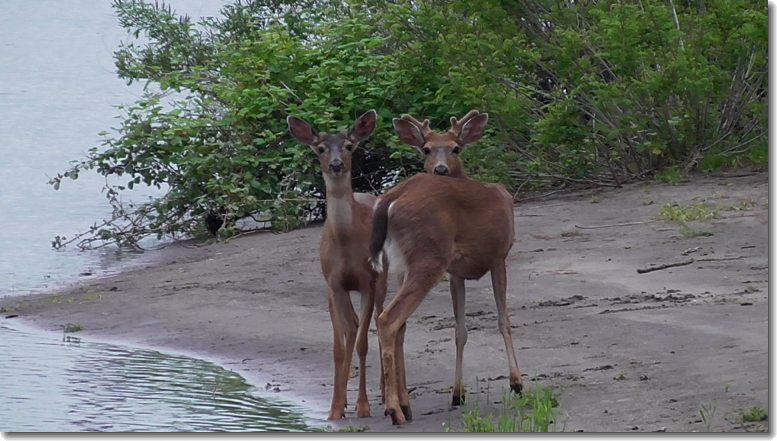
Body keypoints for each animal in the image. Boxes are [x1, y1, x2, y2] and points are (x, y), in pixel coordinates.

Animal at [287, 110, 388, 420]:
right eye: (320, 148)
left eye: (349, 146)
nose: (336, 165)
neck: (346, 242)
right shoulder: (335, 284)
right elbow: (341, 345)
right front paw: (335, 408)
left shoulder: (368, 280)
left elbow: (363, 343)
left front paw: (363, 406)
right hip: (332, 291)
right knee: (347, 331)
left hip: (384, 278)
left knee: (378, 323)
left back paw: (383, 391)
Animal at [368, 111, 524, 425]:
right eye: (426, 149)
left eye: (456, 148)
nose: (439, 170)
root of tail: (389, 199)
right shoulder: (499, 256)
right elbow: (503, 320)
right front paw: (517, 383)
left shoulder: (456, 272)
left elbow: (460, 329)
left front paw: (458, 393)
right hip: (429, 257)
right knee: (388, 319)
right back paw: (394, 410)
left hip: (403, 263)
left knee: (399, 324)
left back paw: (405, 405)